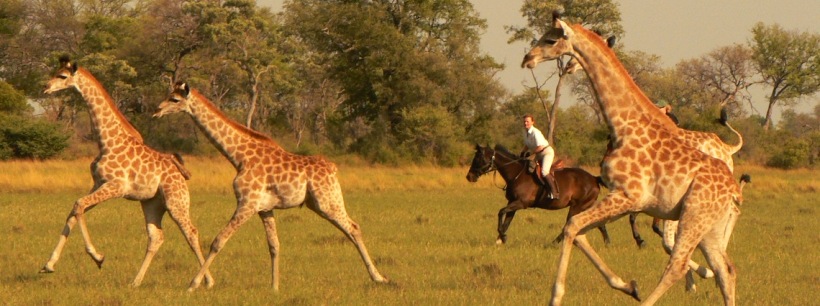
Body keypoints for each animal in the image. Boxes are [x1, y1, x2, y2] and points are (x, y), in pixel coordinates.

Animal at [41, 56, 213, 288]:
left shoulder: (116, 186)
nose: (46, 87)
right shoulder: (98, 183)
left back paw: (206, 281)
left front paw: (98, 257)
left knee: (191, 232)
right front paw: (49, 265)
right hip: (152, 203)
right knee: (156, 237)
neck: (106, 141)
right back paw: (135, 282)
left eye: (62, 76)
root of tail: (181, 173)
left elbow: (78, 205)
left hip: (176, 201)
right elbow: (75, 209)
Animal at [152, 81, 390, 292]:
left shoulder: (247, 203)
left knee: (353, 227)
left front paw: (193, 284)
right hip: (317, 203)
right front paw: (275, 287)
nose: (156, 111)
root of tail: (333, 168)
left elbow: (218, 240)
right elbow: (274, 245)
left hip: (327, 201)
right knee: (352, 228)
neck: (239, 157)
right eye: (167, 95)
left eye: (174, 99)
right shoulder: (265, 208)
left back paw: (379, 278)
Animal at [464, 145, 612, 245]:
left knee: (570, 225)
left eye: (478, 158)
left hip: (577, 207)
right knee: (600, 224)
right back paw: (607, 243)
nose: (469, 177)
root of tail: (594, 178)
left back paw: (554, 243)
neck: (517, 174)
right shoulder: (512, 203)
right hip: (586, 206)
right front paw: (501, 239)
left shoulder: (521, 203)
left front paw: (502, 237)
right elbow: (506, 221)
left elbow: (501, 212)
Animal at [524, 14, 744, 306]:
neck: (622, 126)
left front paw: (556, 296)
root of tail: (732, 188)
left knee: (678, 264)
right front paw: (628, 285)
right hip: (710, 226)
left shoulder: (628, 195)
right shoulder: (626, 200)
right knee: (725, 269)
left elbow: (572, 226)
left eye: (550, 39)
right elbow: (579, 232)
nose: (527, 58)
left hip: (694, 216)